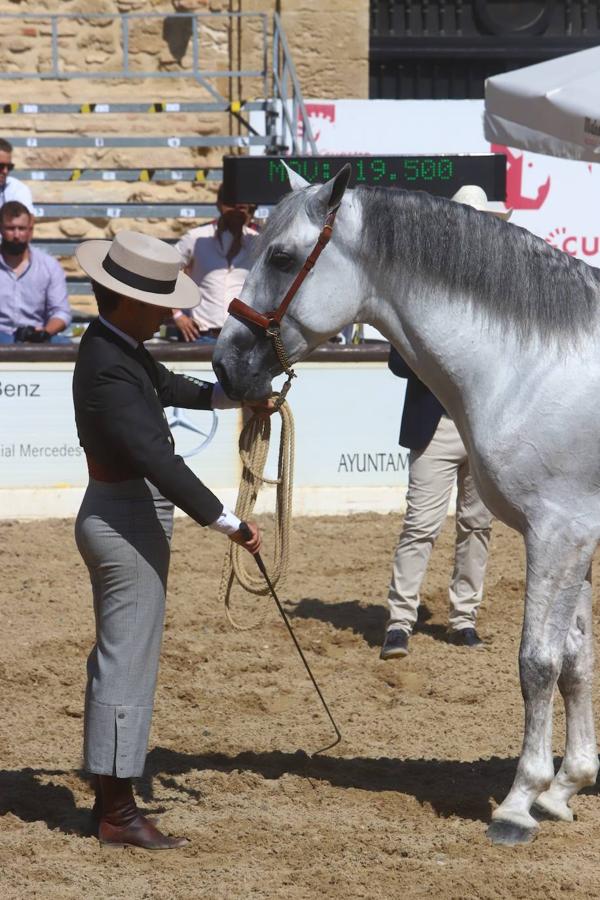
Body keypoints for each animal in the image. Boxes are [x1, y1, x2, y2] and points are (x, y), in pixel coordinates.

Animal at [213, 167, 600, 844]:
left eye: (281, 256)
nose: (224, 362)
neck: (537, 366)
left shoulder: (559, 534)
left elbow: (538, 663)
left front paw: (519, 803)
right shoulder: (576, 538)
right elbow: (577, 661)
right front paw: (564, 788)